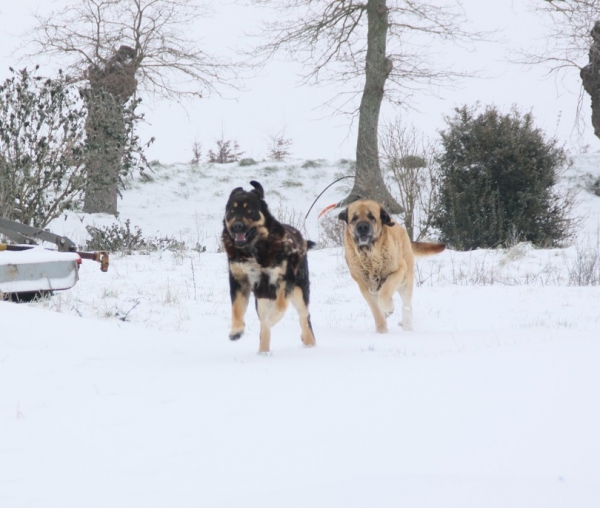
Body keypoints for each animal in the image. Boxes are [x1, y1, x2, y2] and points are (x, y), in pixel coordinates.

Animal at [220, 182, 314, 354]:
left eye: (249, 210)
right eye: (232, 211)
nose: (237, 226)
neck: (253, 248)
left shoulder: (284, 280)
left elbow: (281, 305)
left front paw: (273, 318)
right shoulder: (239, 281)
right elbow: (236, 308)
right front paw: (236, 330)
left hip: (299, 290)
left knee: (304, 318)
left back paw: (310, 344)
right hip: (262, 297)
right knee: (264, 328)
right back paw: (263, 353)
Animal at [338, 198, 446, 334]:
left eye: (372, 217)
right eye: (354, 218)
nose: (362, 227)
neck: (370, 255)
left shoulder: (399, 270)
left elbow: (384, 294)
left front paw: (389, 307)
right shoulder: (364, 286)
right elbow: (376, 309)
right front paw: (382, 331)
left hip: (406, 281)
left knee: (406, 306)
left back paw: (406, 327)